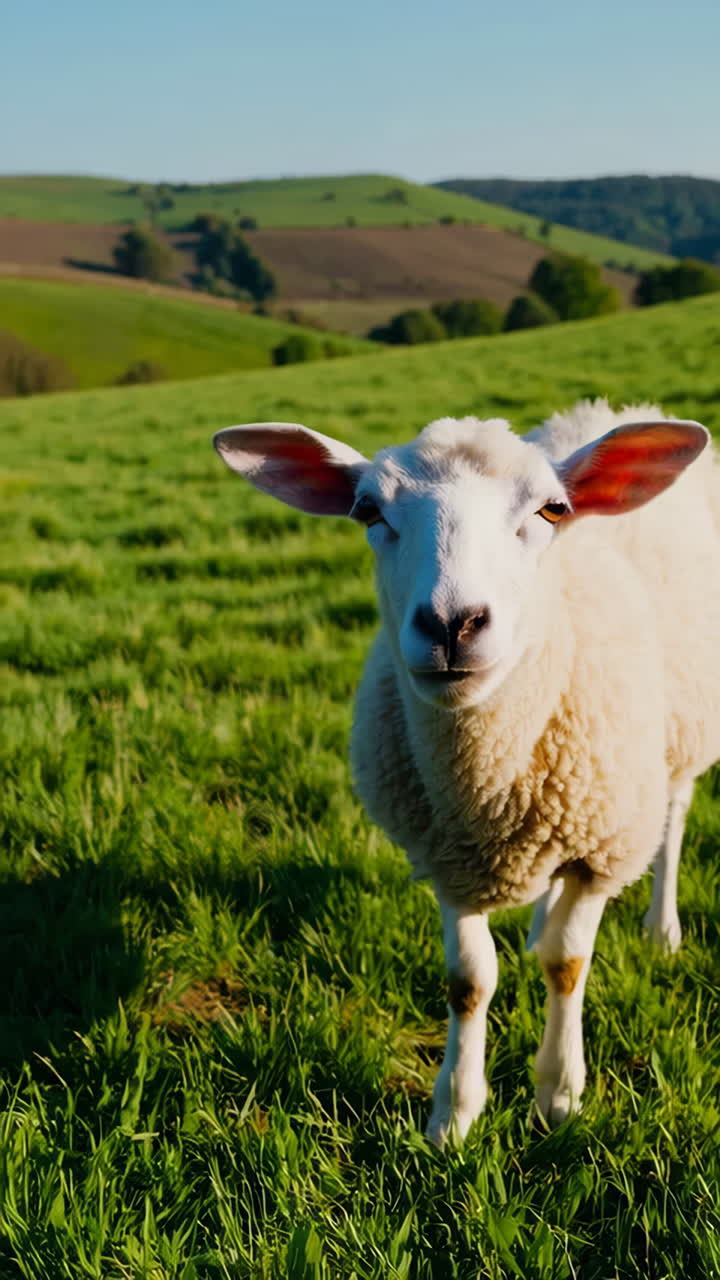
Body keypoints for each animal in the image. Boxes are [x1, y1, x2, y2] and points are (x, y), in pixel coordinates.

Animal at [213, 399, 720, 1145]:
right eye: (368, 511)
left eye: (551, 510)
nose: (453, 624)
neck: (488, 782)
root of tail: (618, 412)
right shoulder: (445, 851)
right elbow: (469, 980)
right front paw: (453, 1113)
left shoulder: (601, 847)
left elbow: (569, 963)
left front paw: (558, 1094)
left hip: (679, 739)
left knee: (674, 818)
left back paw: (662, 928)